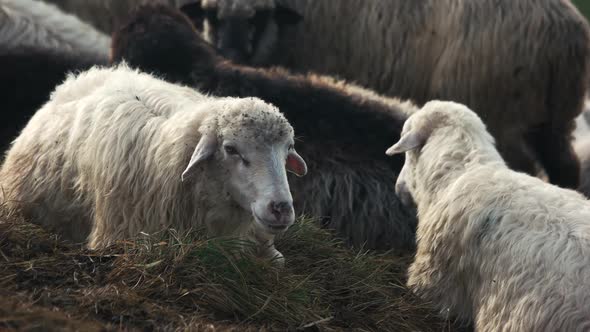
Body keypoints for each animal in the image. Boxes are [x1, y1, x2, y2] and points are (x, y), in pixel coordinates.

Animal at [193, 0, 590, 189]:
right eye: (211, 14)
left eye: (259, 18)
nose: (229, 52)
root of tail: (564, 33)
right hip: (556, 118)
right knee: (565, 166)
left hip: (505, 111)